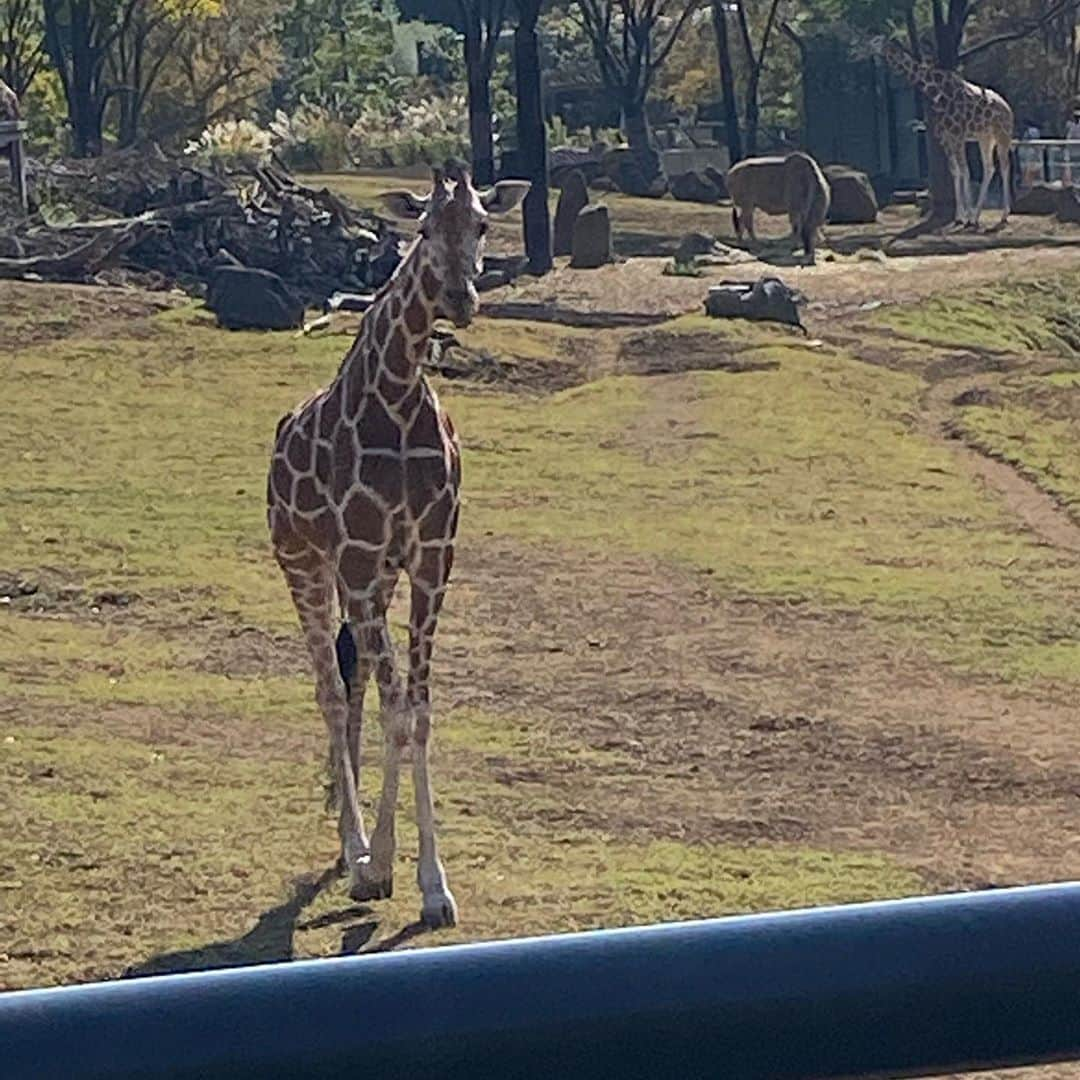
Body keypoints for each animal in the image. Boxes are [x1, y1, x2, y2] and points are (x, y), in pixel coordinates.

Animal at [265, 159, 527, 928]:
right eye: (424, 225)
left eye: (483, 224)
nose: (462, 298)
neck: (400, 393)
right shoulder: (355, 559)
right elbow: (395, 707)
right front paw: (378, 865)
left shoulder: (431, 559)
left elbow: (419, 709)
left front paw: (433, 885)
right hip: (303, 562)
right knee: (329, 687)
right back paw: (352, 847)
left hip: (372, 578)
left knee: (350, 683)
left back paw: (344, 838)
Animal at [876, 39, 1010, 227]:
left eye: (884, 47)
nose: (875, 51)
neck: (937, 93)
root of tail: (1008, 107)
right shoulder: (946, 138)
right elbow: (956, 171)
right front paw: (960, 217)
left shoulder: (958, 135)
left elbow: (965, 170)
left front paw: (967, 217)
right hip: (985, 137)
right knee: (989, 167)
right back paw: (977, 215)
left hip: (1002, 135)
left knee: (1004, 167)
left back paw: (1003, 215)